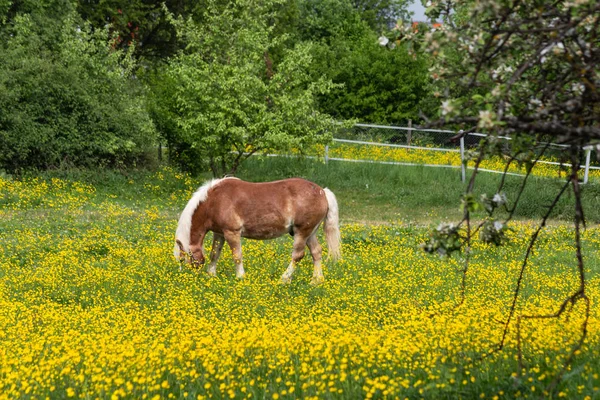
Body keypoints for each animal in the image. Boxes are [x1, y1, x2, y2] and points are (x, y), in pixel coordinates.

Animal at [176, 177, 340, 284]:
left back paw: (284, 279)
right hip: (310, 233)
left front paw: (240, 277)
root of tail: (322, 191)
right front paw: (211, 275)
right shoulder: (219, 233)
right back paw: (316, 281)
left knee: (297, 255)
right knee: (316, 253)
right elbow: (214, 254)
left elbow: (237, 256)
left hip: (302, 232)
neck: (214, 201)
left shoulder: (232, 233)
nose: (188, 277)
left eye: (183, 259)